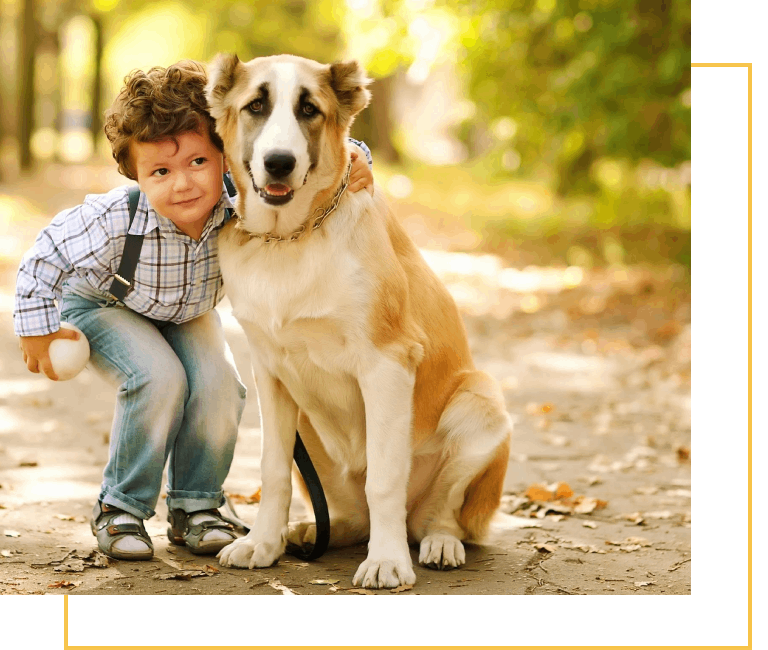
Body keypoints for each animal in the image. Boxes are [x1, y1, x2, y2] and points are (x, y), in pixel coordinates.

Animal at [207, 54, 512, 588]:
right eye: (256, 106)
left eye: (309, 109)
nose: (279, 162)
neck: (291, 240)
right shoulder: (270, 372)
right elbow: (271, 470)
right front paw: (261, 543)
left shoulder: (387, 365)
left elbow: (386, 478)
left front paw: (387, 560)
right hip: (309, 429)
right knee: (350, 517)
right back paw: (308, 531)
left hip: (482, 404)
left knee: (439, 511)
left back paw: (438, 542)